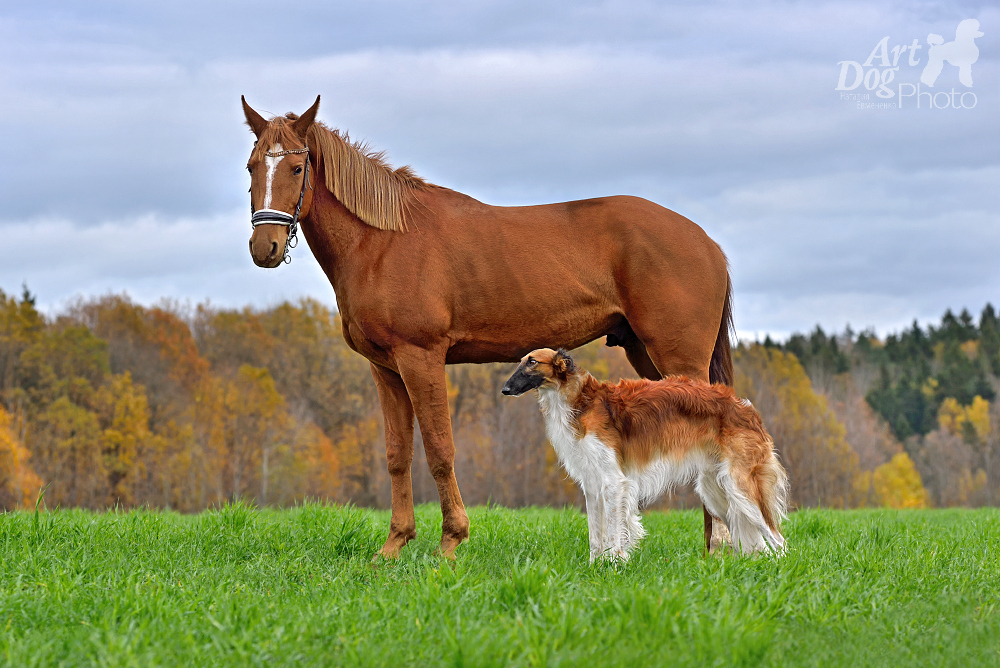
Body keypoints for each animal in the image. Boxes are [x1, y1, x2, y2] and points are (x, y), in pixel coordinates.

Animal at [238, 95, 732, 560]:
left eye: (297, 166)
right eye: (251, 166)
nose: (265, 247)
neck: (382, 242)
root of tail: (707, 242)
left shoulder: (421, 358)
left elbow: (440, 449)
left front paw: (450, 542)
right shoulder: (386, 369)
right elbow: (398, 454)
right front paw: (394, 545)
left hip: (677, 357)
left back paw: (719, 545)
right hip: (645, 354)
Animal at [500, 350, 788, 564]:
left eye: (532, 362)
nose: (505, 389)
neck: (579, 401)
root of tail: (746, 409)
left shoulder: (613, 481)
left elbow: (613, 533)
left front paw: (614, 564)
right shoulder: (592, 485)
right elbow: (595, 536)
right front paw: (594, 566)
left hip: (741, 487)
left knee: (779, 540)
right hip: (717, 492)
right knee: (762, 541)